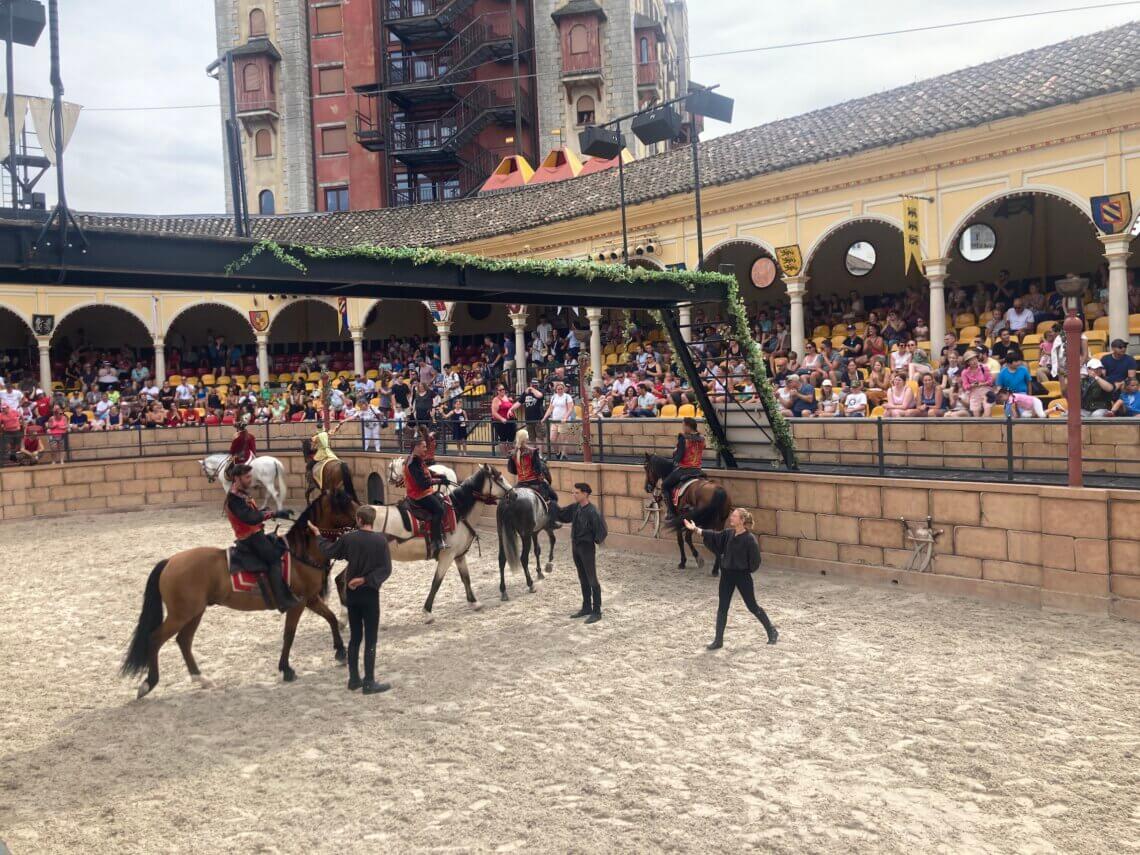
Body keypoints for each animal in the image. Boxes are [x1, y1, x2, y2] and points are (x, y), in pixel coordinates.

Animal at [122, 485, 357, 697]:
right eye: (346, 503)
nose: (363, 512)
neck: (301, 552)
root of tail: (170, 561)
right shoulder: (297, 603)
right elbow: (289, 634)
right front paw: (287, 669)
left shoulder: (310, 599)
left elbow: (331, 618)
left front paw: (340, 651)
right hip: (181, 615)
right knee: (155, 639)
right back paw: (149, 683)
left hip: (194, 613)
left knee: (184, 641)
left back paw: (201, 679)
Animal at [346, 462, 508, 624]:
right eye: (500, 478)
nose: (512, 492)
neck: (458, 514)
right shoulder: (447, 556)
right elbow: (436, 583)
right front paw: (427, 612)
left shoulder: (459, 556)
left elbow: (466, 578)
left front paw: (474, 602)